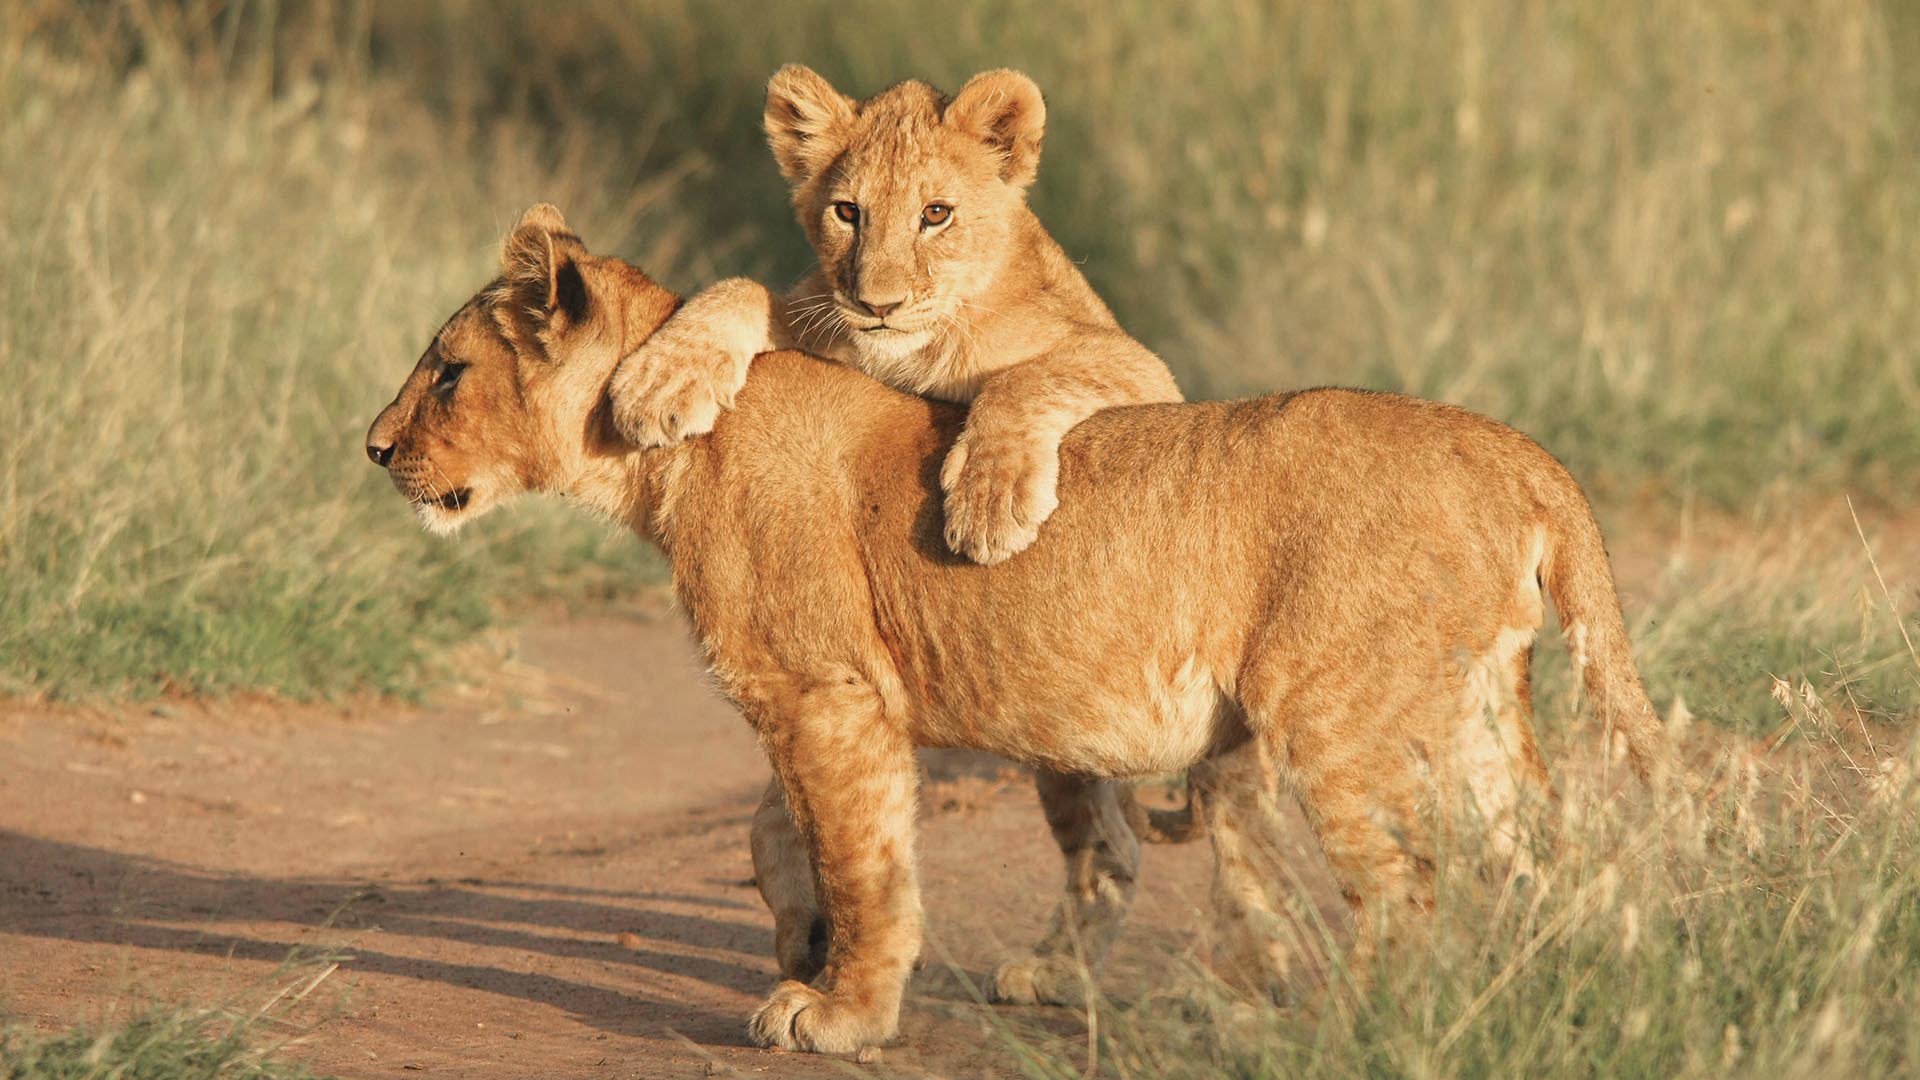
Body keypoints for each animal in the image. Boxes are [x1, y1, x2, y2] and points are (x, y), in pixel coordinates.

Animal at [366, 206, 1670, 1053]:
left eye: (446, 373)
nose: (374, 449)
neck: (656, 462)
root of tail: (1513, 447)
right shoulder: (863, 697)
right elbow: (776, 830)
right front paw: (802, 939)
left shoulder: (826, 696)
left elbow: (863, 859)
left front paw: (839, 1013)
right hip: (1474, 716)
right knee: (1542, 869)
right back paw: (1546, 995)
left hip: (1338, 718)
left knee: (1406, 896)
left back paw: (1351, 1030)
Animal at [606, 64, 1205, 1001]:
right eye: (848, 212)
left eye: (936, 213)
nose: (877, 302)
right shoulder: (819, 316)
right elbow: (741, 288)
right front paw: (663, 378)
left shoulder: (1139, 368)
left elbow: (1031, 377)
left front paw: (990, 503)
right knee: (1109, 843)